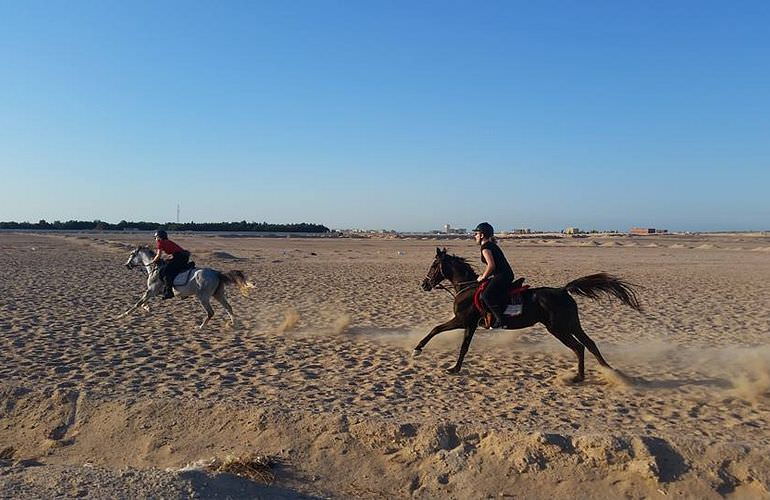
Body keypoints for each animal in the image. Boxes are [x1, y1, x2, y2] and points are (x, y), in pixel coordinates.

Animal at [118, 246, 254, 328]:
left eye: (132, 254)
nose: (126, 265)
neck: (154, 268)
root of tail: (216, 273)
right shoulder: (154, 292)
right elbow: (142, 303)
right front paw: (147, 308)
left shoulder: (151, 290)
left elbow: (137, 303)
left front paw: (122, 316)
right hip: (218, 294)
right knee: (228, 308)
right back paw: (234, 325)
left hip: (203, 297)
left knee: (211, 312)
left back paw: (201, 327)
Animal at [416, 248, 640, 380]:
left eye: (434, 265)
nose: (424, 285)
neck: (467, 287)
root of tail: (563, 290)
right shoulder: (467, 324)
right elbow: (449, 338)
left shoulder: (464, 322)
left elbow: (446, 335)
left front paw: (425, 353)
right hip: (571, 324)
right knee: (590, 343)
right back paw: (608, 370)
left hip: (558, 328)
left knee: (579, 347)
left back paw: (578, 378)